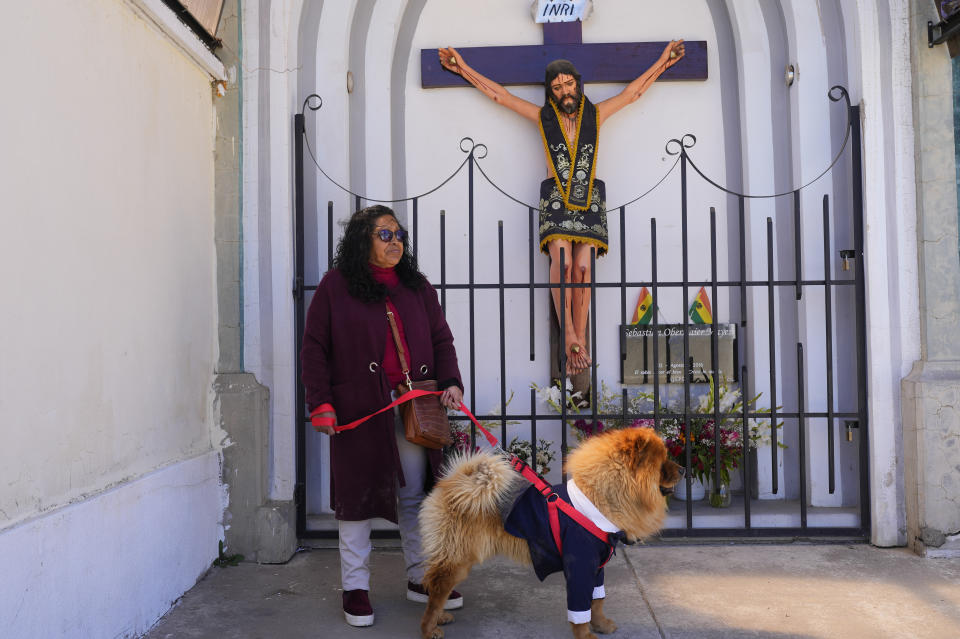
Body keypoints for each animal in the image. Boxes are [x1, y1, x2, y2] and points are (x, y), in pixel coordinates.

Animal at [420, 428, 684, 639]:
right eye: (662, 462)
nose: (682, 468)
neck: (602, 498)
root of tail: (451, 485)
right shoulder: (580, 564)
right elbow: (580, 609)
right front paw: (585, 635)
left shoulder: (597, 565)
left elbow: (597, 601)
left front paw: (601, 625)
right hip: (457, 558)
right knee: (437, 589)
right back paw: (429, 628)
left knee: (436, 587)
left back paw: (441, 616)